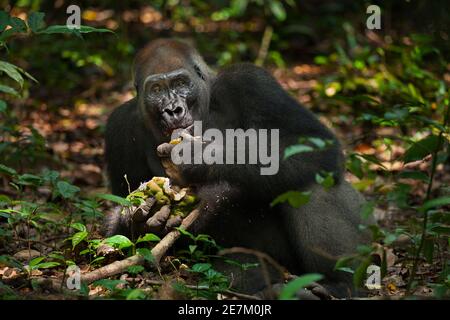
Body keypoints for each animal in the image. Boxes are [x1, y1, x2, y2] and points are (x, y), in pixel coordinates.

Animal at [105, 38, 372, 298]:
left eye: (181, 83)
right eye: (157, 90)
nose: (173, 109)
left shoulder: (250, 81)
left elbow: (311, 141)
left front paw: (199, 157)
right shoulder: (119, 124)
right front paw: (140, 217)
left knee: (313, 177)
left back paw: (338, 284)